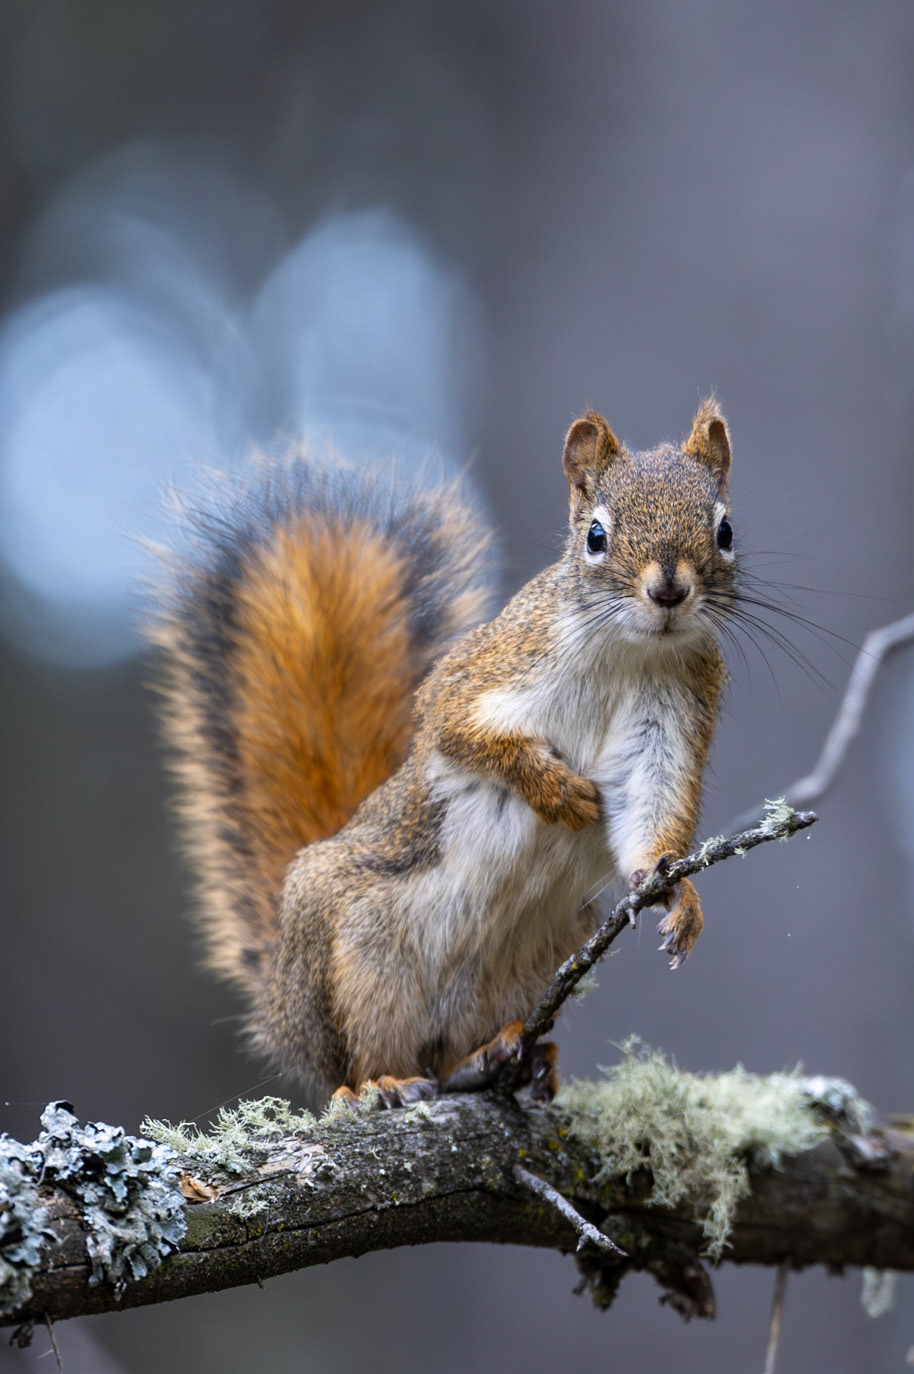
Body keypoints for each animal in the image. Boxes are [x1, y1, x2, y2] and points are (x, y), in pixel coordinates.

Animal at [150, 400, 736, 1113]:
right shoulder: (485, 670)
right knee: (359, 1057)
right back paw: (378, 1083)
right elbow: (458, 730)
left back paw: (500, 1056)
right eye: (596, 536)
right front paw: (554, 789)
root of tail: (280, 1006)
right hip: (356, 958)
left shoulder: (671, 720)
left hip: (532, 958)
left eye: (725, 530)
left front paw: (678, 896)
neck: (632, 650)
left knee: (450, 1056)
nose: (669, 591)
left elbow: (651, 813)